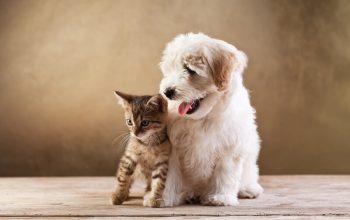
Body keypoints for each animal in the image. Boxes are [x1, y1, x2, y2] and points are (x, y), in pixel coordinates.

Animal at [159, 32, 262, 206]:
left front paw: (221, 197)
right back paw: (190, 194)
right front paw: (163, 197)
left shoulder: (230, 144)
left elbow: (225, 171)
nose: (167, 92)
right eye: (170, 69)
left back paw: (248, 188)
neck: (203, 118)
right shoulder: (172, 145)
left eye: (190, 70)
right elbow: (170, 174)